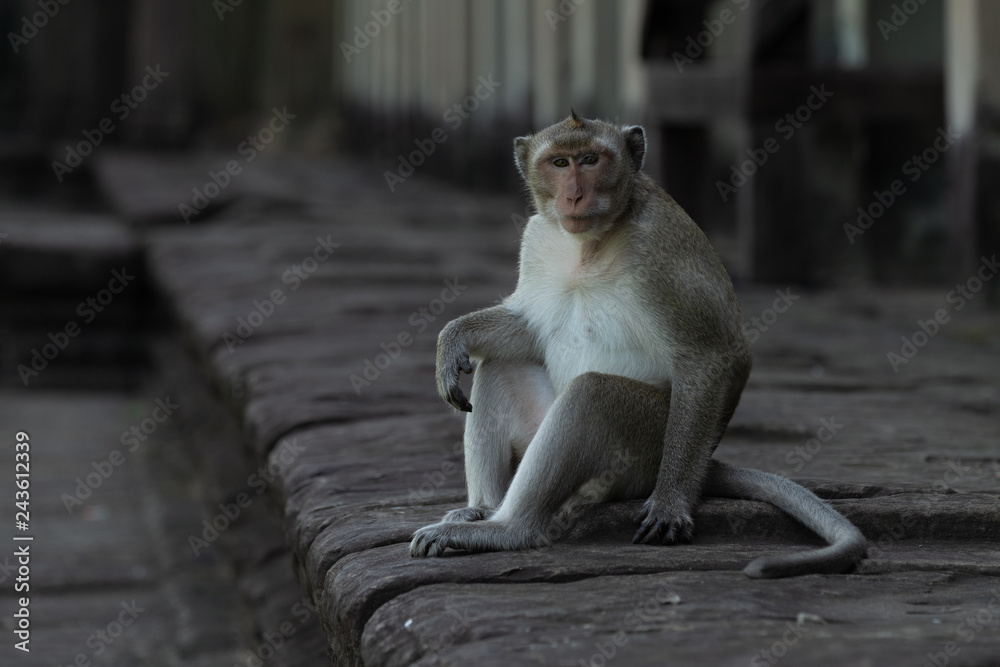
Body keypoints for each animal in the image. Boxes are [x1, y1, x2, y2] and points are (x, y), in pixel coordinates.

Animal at [409, 111, 867, 578]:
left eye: (590, 160)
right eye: (559, 163)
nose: (573, 195)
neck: (588, 245)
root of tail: (707, 463)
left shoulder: (658, 248)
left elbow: (715, 354)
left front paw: (671, 502)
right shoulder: (537, 238)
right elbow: (529, 330)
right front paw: (454, 337)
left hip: (642, 451)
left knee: (593, 394)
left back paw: (507, 529)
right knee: (502, 366)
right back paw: (482, 509)